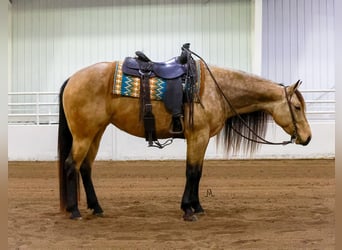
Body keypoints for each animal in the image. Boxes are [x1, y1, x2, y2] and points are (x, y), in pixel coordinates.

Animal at [57, 46, 312, 220]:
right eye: (297, 107)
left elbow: (198, 173)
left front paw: (197, 206)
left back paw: (97, 208)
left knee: (86, 168)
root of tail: (72, 79)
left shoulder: (202, 139)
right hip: (83, 135)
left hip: (96, 132)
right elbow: (191, 172)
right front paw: (188, 209)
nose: (308, 137)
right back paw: (74, 211)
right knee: (71, 165)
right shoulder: (197, 136)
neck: (215, 89)